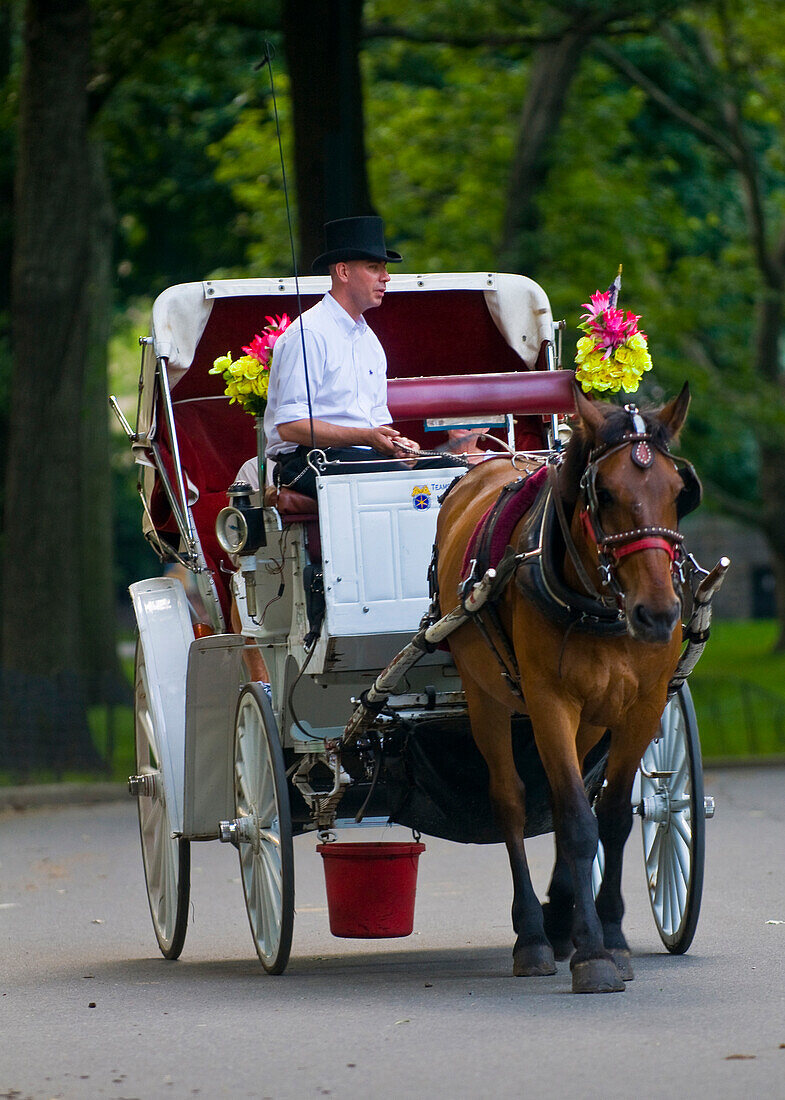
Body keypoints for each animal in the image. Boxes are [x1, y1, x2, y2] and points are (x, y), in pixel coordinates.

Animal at [433, 382, 699, 994]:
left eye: (679, 491)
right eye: (603, 492)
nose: (657, 615)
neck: (599, 604)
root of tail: (485, 464)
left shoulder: (641, 706)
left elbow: (613, 817)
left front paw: (610, 936)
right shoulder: (550, 701)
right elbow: (578, 821)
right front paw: (593, 956)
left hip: (593, 718)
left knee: (562, 796)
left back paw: (563, 921)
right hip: (486, 698)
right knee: (511, 801)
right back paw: (533, 933)